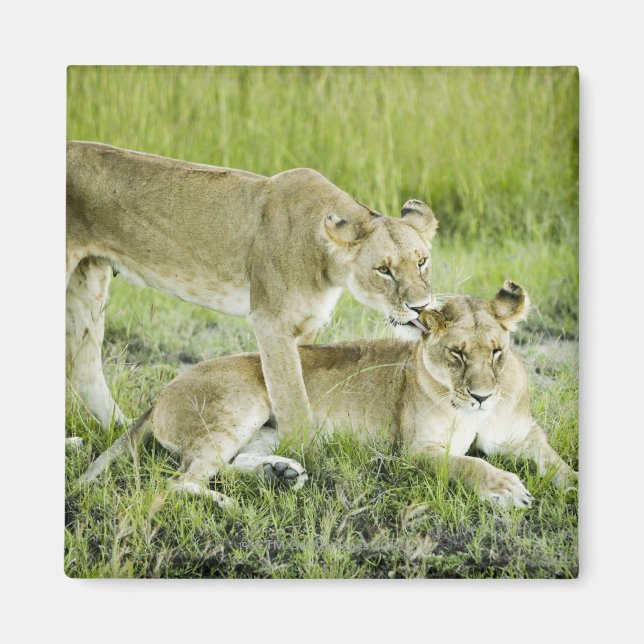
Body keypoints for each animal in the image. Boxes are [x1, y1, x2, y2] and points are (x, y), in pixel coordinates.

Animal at [67, 142, 437, 437]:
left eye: (422, 261)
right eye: (384, 270)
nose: (421, 307)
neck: (328, 265)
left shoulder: (305, 326)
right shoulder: (270, 322)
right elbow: (291, 397)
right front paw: (307, 454)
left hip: (89, 281)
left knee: (83, 365)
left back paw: (122, 431)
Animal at [82, 281, 577, 508]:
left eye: (496, 352)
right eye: (456, 353)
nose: (482, 397)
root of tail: (164, 388)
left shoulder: (524, 436)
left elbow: (557, 463)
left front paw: (572, 486)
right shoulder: (417, 451)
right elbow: (468, 464)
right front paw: (507, 488)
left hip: (270, 428)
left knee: (228, 466)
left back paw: (280, 474)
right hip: (241, 403)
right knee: (182, 481)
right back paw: (230, 505)